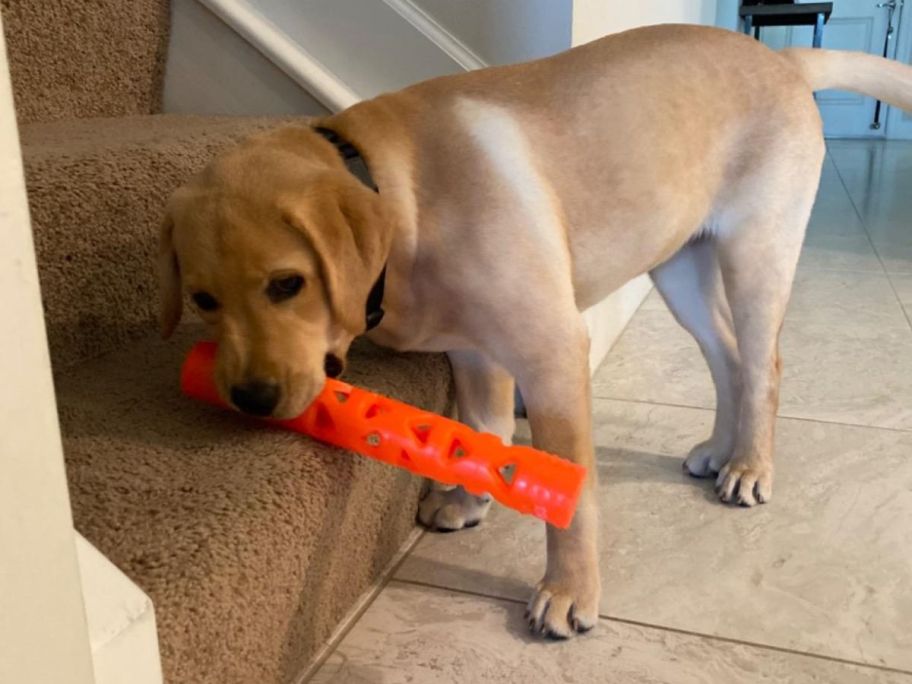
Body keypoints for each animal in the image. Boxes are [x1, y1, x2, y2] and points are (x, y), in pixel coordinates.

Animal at [159, 25, 912, 636]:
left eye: (288, 283)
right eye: (203, 300)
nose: (251, 399)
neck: (397, 189)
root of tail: (779, 57)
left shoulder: (551, 353)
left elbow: (571, 500)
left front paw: (569, 591)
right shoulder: (473, 349)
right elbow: (482, 432)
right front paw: (467, 498)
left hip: (757, 253)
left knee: (763, 367)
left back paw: (751, 465)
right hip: (679, 268)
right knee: (726, 359)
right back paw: (720, 451)